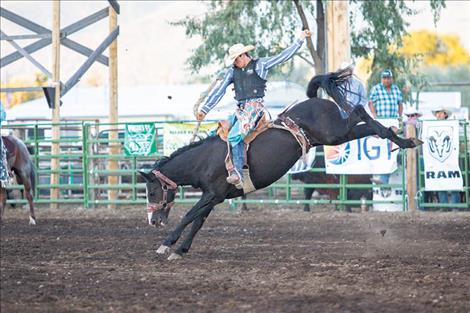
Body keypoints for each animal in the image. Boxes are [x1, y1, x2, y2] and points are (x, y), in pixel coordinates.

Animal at [140, 69, 422, 260]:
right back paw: (405, 138)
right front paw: (181, 250)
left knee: (359, 112)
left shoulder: (212, 193)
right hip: (337, 134)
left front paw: (166, 244)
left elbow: (189, 215)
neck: (204, 159)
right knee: (369, 126)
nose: (153, 221)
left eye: (152, 191)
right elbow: (198, 220)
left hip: (335, 132)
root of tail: (313, 100)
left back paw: (402, 136)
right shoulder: (216, 196)